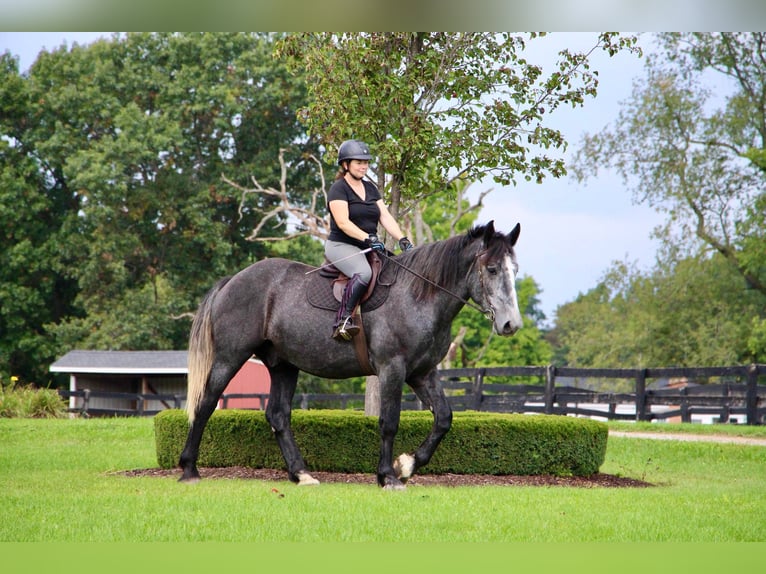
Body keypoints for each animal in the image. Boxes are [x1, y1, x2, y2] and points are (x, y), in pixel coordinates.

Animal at [180, 220, 524, 490]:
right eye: (492, 269)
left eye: (515, 270)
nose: (511, 325)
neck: (418, 296)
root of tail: (233, 280)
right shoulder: (392, 370)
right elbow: (389, 422)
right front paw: (387, 476)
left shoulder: (422, 373)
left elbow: (443, 419)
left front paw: (407, 465)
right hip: (229, 357)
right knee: (206, 404)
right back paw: (188, 469)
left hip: (284, 365)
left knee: (278, 414)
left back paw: (301, 473)